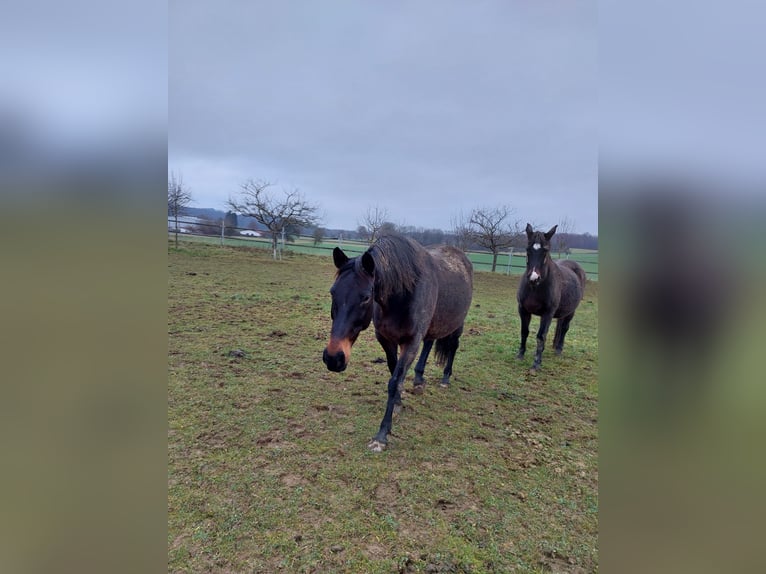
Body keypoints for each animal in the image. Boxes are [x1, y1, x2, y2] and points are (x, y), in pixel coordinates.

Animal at [322, 234, 473, 452]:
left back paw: (445, 378)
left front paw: (382, 435)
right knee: (429, 343)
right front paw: (398, 403)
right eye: (333, 292)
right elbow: (394, 372)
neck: (402, 294)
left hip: (457, 323)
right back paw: (418, 380)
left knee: (453, 346)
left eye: (366, 297)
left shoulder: (411, 342)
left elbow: (394, 381)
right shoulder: (386, 339)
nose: (333, 358)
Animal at [517, 223, 587, 370]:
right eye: (527, 249)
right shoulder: (523, 310)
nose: (534, 278)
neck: (535, 288)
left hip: (571, 311)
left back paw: (559, 349)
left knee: (564, 328)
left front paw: (536, 363)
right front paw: (520, 354)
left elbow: (541, 336)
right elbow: (524, 331)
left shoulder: (547, 313)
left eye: (545, 251)